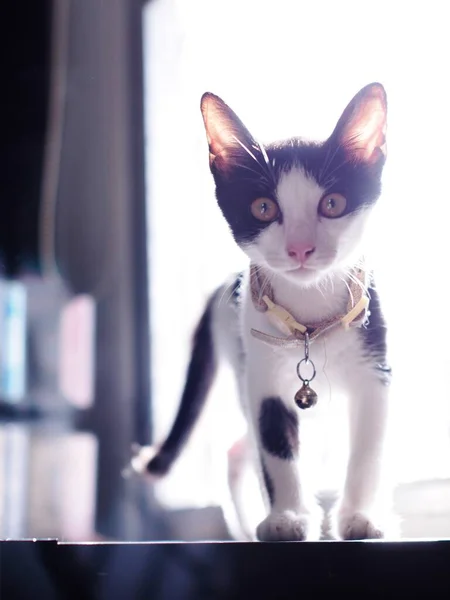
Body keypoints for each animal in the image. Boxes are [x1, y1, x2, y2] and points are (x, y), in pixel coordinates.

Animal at [131, 85, 394, 544]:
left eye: (333, 203)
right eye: (264, 209)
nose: (300, 248)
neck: (310, 322)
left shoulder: (374, 369)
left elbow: (367, 447)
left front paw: (359, 517)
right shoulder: (263, 374)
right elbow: (274, 444)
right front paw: (287, 517)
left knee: (240, 448)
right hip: (240, 366)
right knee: (243, 448)